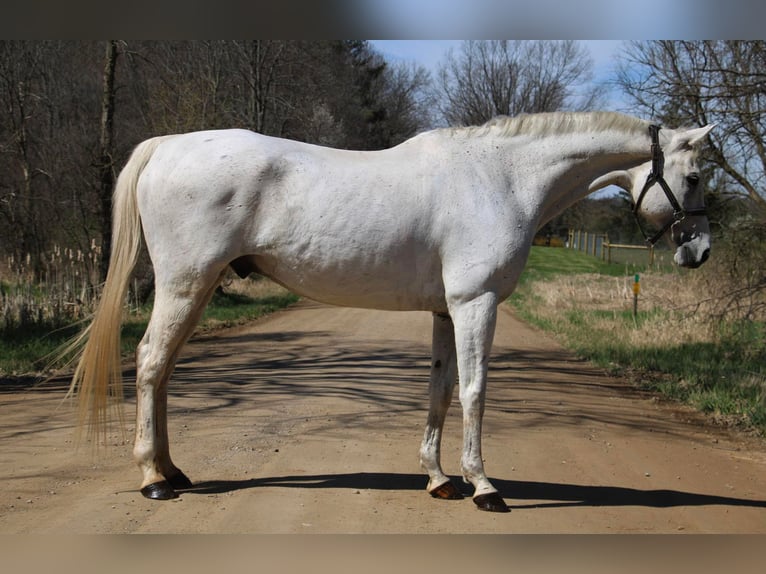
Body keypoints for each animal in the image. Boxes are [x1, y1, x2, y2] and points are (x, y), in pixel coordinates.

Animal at [66, 111, 712, 512]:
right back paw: (153, 479)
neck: (502, 177)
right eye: (697, 176)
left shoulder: (448, 311)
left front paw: (439, 479)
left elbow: (440, 391)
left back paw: (172, 470)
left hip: (194, 290)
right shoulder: (476, 303)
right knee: (151, 362)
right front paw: (483, 486)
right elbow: (475, 390)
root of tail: (168, 146)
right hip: (185, 284)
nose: (699, 250)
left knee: (164, 370)